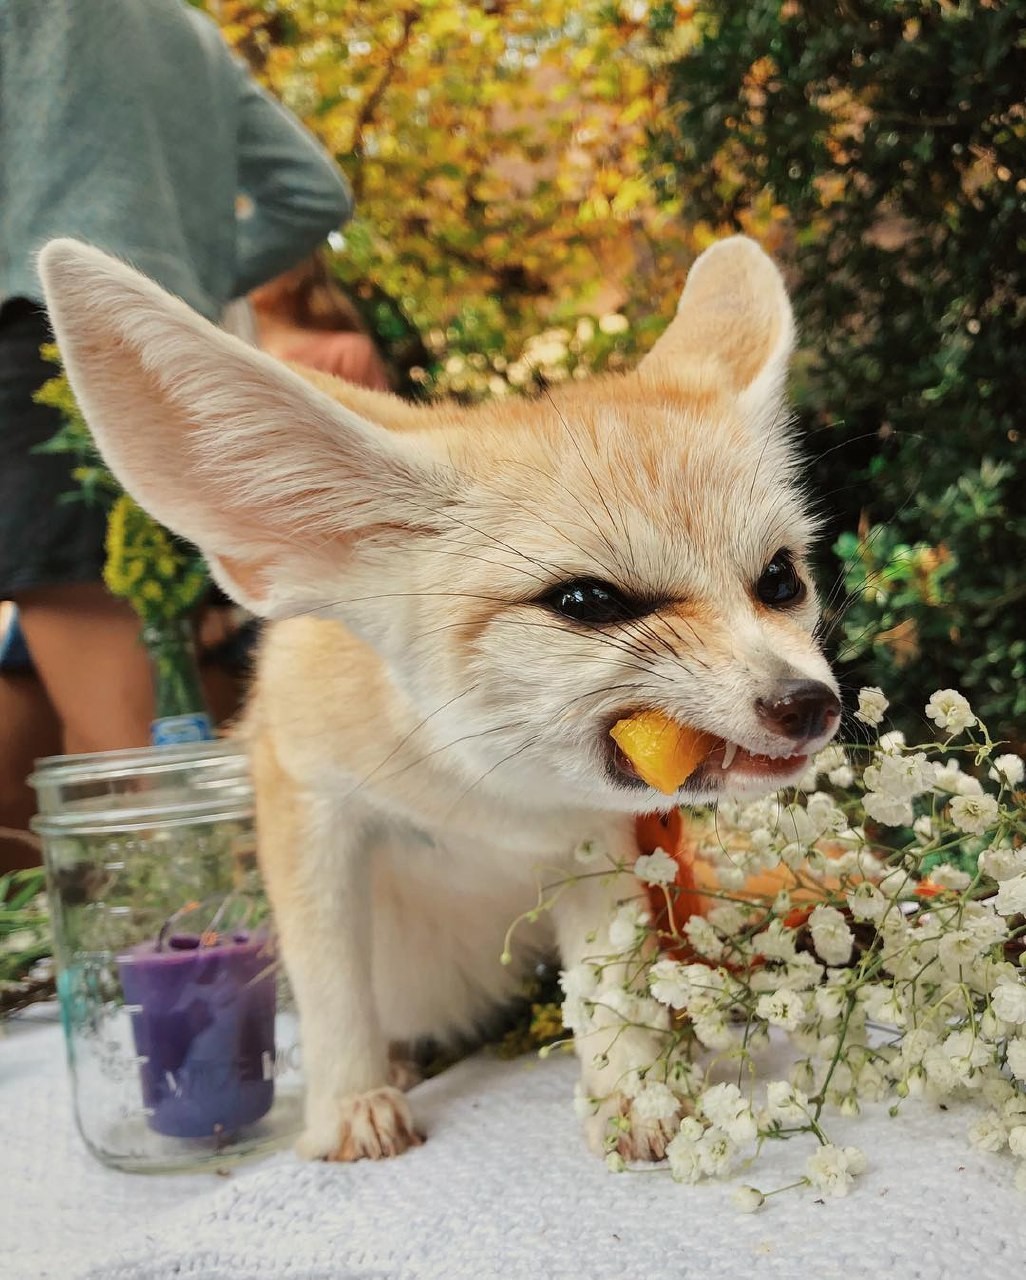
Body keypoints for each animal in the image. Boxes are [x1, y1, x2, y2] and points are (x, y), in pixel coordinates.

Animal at [41, 235, 839, 1167]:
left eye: (779, 581)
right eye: (587, 601)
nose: (811, 704)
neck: (483, 797)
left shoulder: (596, 844)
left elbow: (611, 979)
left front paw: (635, 1090)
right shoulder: (307, 803)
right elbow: (330, 981)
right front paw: (349, 1104)